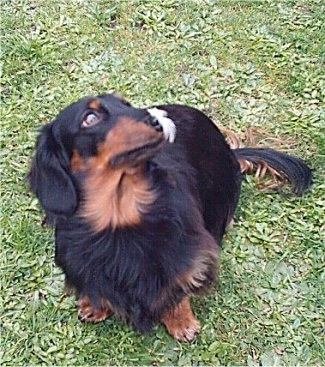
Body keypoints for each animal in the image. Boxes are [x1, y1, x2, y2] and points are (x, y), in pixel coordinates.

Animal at [28, 94, 312, 342]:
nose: (155, 120)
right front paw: (96, 305)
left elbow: (177, 290)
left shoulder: (187, 256)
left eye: (126, 104)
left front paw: (181, 322)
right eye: (90, 118)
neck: (120, 216)